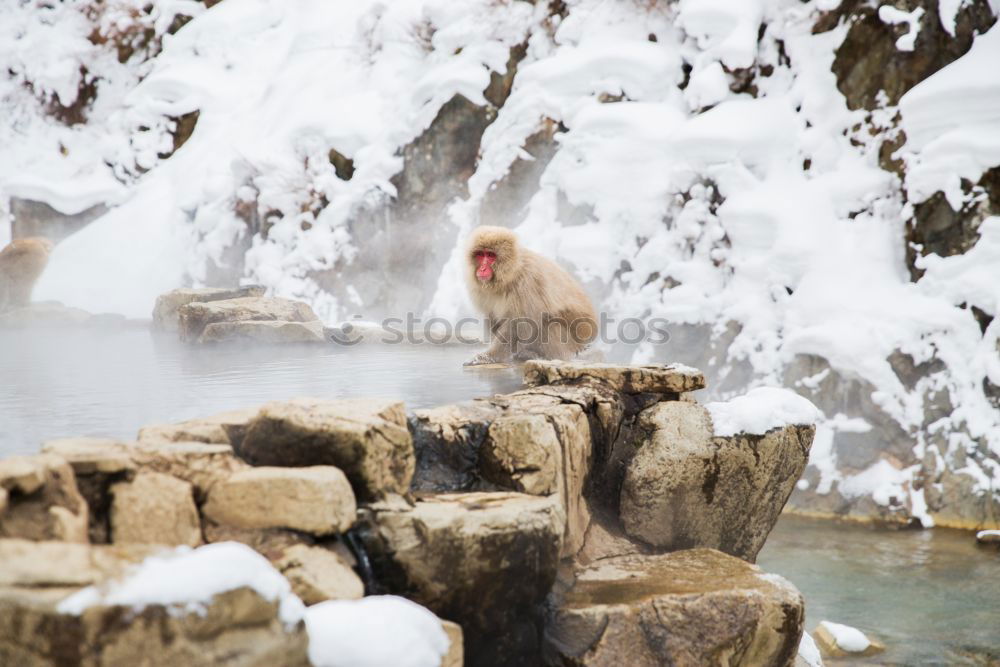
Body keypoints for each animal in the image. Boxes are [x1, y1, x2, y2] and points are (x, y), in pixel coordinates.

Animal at [464, 228, 596, 366]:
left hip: (572, 342)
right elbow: (494, 317)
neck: (511, 274)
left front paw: (487, 357)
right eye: (480, 254)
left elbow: (520, 324)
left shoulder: (526, 283)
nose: (482, 269)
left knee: (548, 323)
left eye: (490, 255)